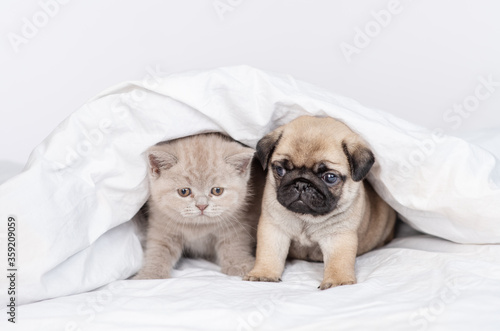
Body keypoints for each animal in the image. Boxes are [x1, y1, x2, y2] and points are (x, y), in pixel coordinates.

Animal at [133, 134, 262, 278]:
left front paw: (239, 264)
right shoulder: (161, 223)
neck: (198, 228)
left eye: (217, 190)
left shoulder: (236, 221)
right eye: (184, 191)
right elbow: (158, 248)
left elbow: (234, 242)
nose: (201, 205)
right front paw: (151, 273)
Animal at [244, 116, 396, 290]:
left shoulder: (338, 236)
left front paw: (338, 281)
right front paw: (263, 273)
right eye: (280, 170)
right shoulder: (273, 228)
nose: (301, 184)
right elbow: (269, 253)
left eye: (330, 177)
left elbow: (338, 262)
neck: (306, 218)